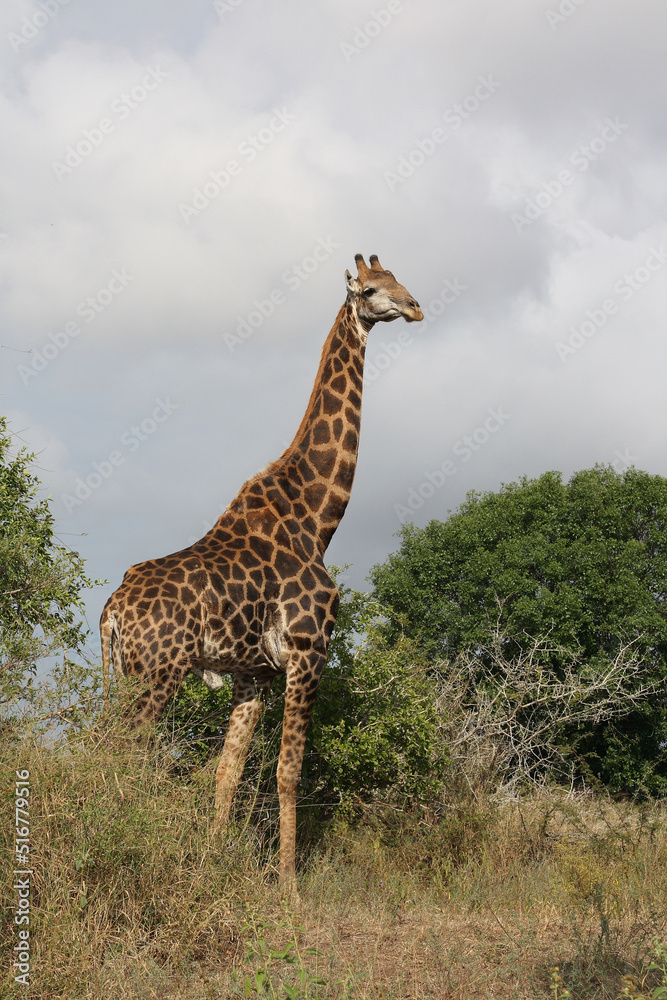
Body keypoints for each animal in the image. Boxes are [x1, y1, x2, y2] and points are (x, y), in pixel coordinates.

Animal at [99, 254, 422, 888]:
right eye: (374, 289)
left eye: (402, 281)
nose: (417, 307)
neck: (317, 519)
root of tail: (110, 613)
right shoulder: (307, 651)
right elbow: (287, 772)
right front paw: (290, 891)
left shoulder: (254, 675)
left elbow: (228, 771)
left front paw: (211, 866)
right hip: (157, 673)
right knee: (120, 748)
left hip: (127, 672)